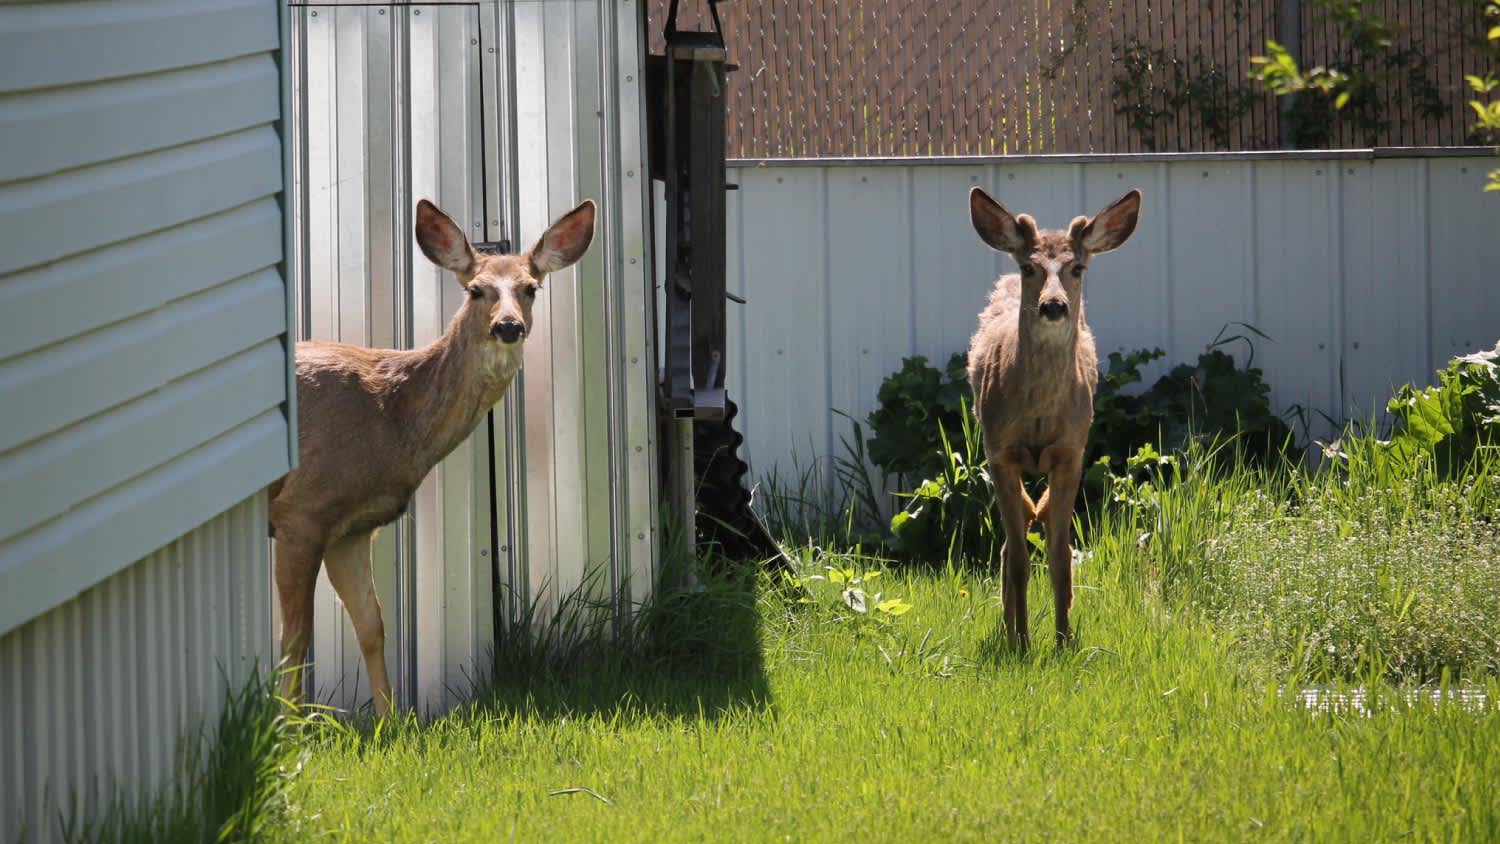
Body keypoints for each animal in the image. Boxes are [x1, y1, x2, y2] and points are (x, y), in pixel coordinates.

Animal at [267, 197, 596, 715]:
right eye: (477, 290)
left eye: (531, 287)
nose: (508, 326)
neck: (389, 417)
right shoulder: (301, 511)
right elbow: (295, 639)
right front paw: (290, 728)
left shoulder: (351, 528)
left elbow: (373, 627)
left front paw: (390, 721)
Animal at [965, 186, 1141, 650]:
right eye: (1029, 266)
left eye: (1077, 267)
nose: (1054, 305)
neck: (1040, 418)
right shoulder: (999, 453)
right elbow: (1020, 558)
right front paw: (1023, 643)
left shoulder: (1070, 453)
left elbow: (1061, 555)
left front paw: (1063, 640)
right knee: (1010, 546)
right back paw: (1008, 629)